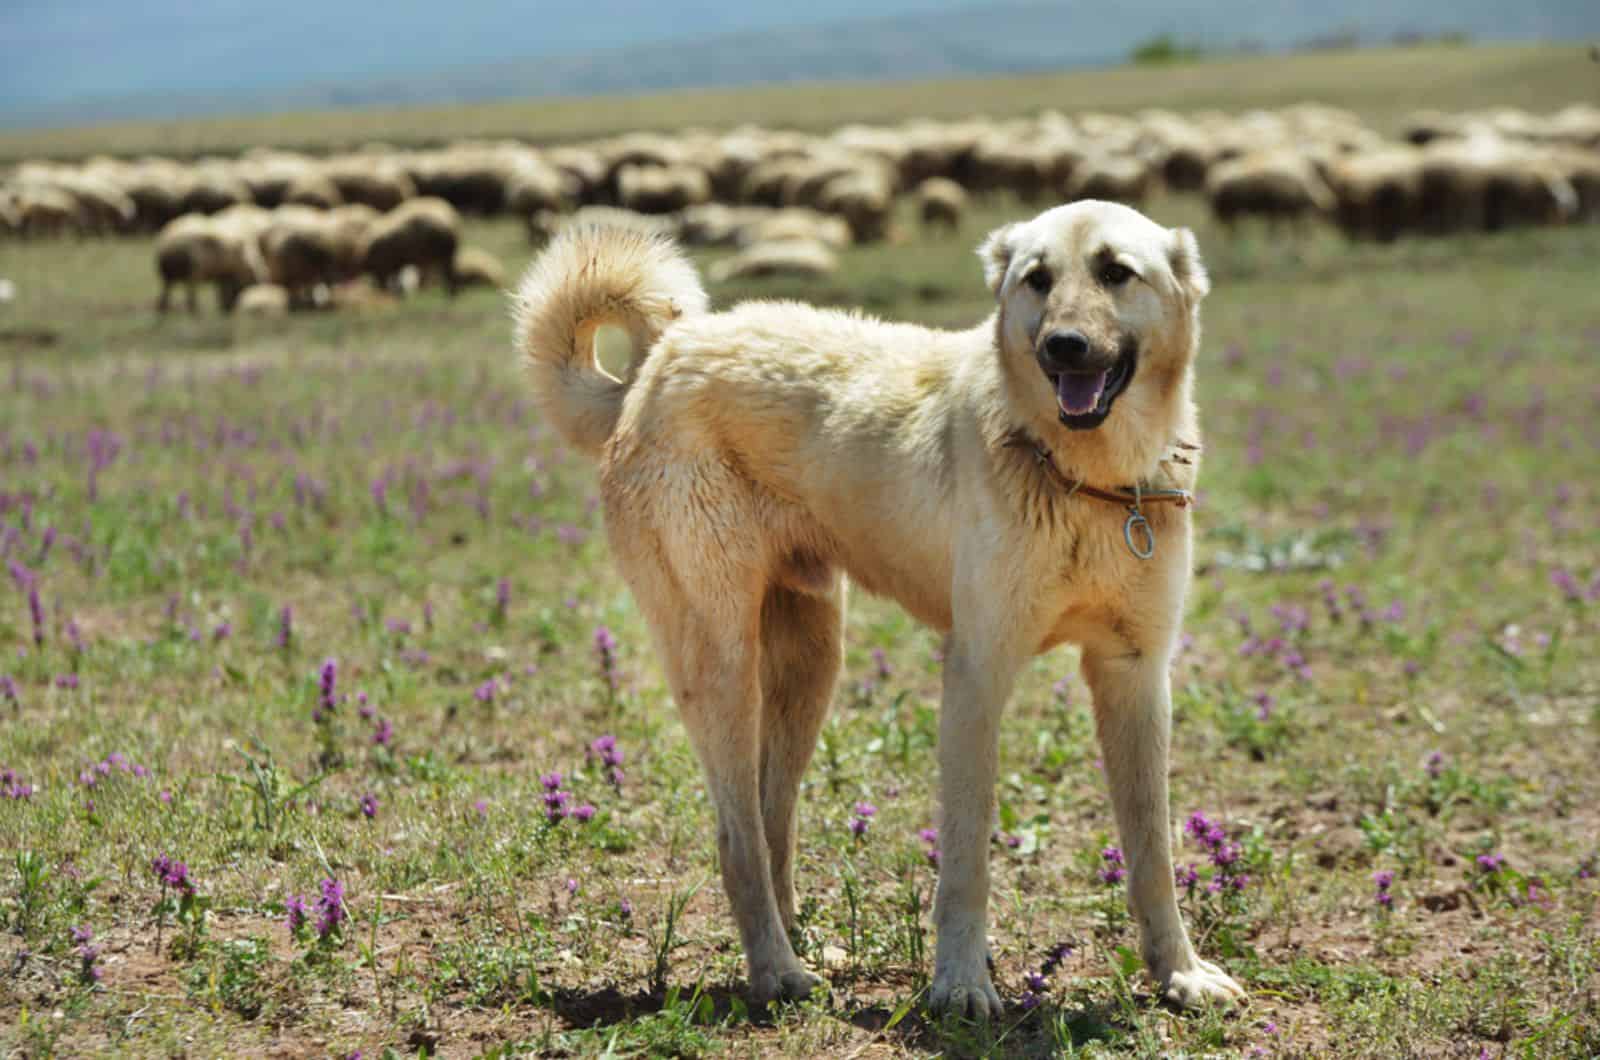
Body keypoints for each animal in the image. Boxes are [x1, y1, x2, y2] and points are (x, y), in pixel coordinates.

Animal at [515, 201, 1248, 1024]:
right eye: (1038, 279)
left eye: (1117, 272)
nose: (1063, 347)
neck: (1086, 479)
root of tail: (659, 360)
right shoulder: (977, 674)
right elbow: (966, 854)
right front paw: (960, 983)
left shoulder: (1135, 675)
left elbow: (1153, 848)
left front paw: (1180, 973)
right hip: (721, 664)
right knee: (737, 838)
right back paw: (778, 973)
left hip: (809, 665)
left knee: (772, 820)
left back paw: (805, 947)